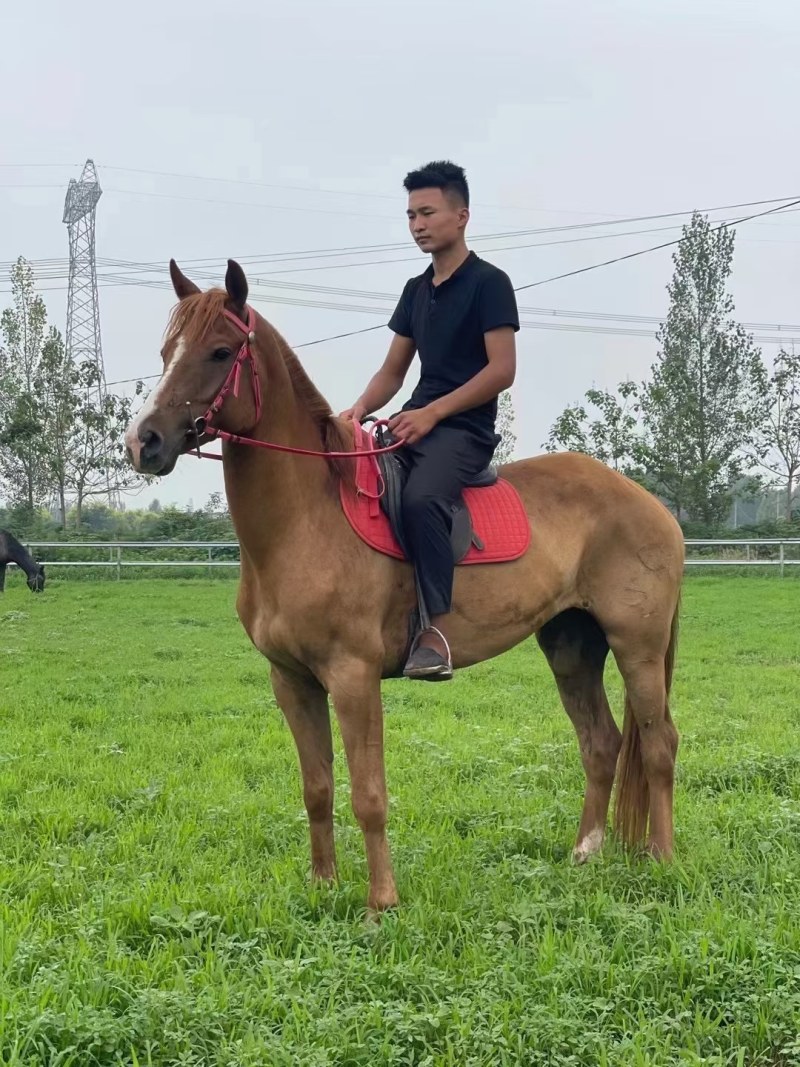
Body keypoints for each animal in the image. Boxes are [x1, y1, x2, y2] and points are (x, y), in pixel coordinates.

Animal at [124, 259, 685, 912]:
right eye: (167, 352)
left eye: (219, 352)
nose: (144, 441)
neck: (305, 519)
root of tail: (652, 505)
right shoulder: (291, 681)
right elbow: (317, 788)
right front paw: (323, 886)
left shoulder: (353, 677)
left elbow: (368, 794)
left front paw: (381, 902)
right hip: (572, 645)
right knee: (601, 743)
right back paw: (584, 853)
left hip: (636, 647)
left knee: (659, 744)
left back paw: (662, 858)